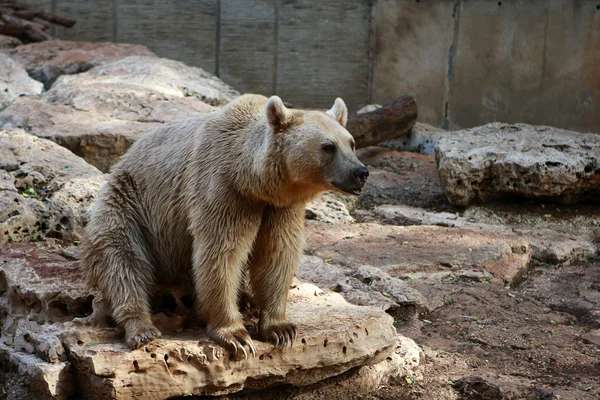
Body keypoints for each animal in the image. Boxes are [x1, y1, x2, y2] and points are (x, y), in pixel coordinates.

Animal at [81, 94, 368, 356]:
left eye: (351, 143)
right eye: (328, 146)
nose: (361, 173)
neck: (254, 181)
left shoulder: (280, 209)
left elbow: (277, 254)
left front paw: (280, 328)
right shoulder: (224, 192)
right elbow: (222, 253)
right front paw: (236, 335)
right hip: (129, 205)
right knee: (121, 260)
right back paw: (141, 328)